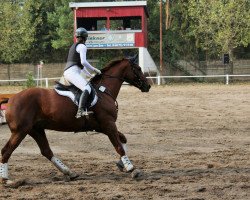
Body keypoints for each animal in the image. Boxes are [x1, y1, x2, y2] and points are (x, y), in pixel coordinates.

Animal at [0, 57, 150, 184]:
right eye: (138, 68)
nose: (148, 86)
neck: (104, 91)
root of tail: (11, 98)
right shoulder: (108, 124)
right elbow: (118, 146)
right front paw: (131, 168)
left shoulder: (102, 126)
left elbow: (123, 139)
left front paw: (121, 164)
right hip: (20, 131)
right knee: (6, 151)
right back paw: (6, 179)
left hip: (36, 129)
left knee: (46, 151)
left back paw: (69, 172)